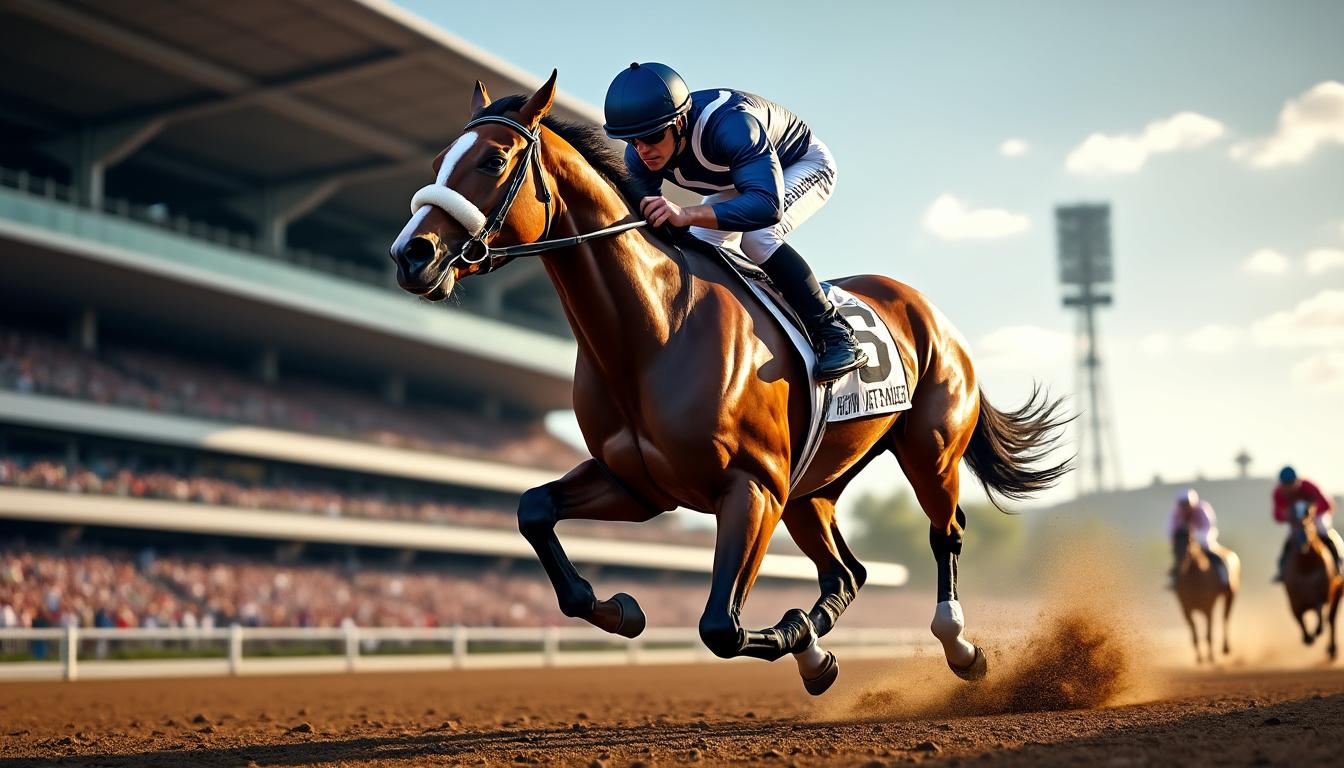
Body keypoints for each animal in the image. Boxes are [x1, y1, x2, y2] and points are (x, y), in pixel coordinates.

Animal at [389, 72, 1070, 694]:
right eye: (437, 161)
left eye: (493, 159)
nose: (410, 255)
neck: (655, 331)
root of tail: (927, 309)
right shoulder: (640, 485)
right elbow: (535, 511)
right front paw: (621, 610)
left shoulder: (753, 487)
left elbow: (721, 626)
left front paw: (804, 645)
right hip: (812, 489)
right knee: (847, 573)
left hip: (929, 450)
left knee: (944, 533)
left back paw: (959, 645)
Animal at [1171, 525, 1239, 664]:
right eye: (1173, 543)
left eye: (1190, 540)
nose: (1179, 562)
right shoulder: (1186, 610)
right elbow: (1195, 634)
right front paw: (1200, 658)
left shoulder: (1208, 608)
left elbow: (1209, 634)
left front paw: (1211, 658)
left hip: (1231, 595)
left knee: (1225, 618)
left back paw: (1225, 648)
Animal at [1283, 501, 1343, 660]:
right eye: (1292, 521)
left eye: (1309, 518)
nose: (1303, 540)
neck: (1306, 568)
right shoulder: (1294, 600)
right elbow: (1298, 618)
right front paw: (1308, 638)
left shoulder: (1323, 595)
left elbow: (1321, 614)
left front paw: (1317, 631)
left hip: (1338, 592)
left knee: (1331, 619)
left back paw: (1332, 649)